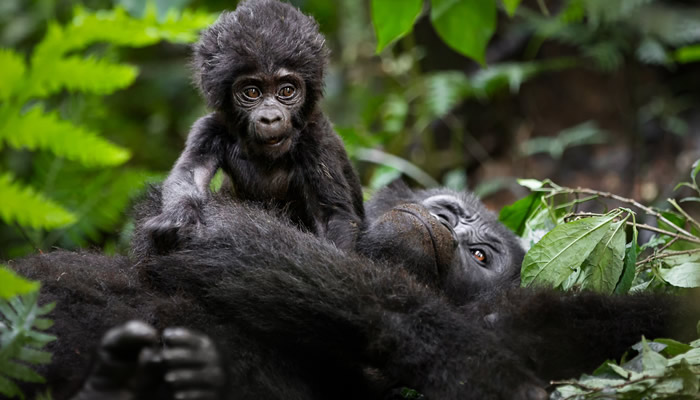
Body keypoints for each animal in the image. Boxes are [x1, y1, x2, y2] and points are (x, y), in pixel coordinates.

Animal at [148, 0, 366, 250]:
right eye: (252, 92)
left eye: (287, 91)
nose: (270, 118)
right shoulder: (209, 129)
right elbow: (190, 174)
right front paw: (178, 218)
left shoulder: (317, 139)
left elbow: (332, 217)